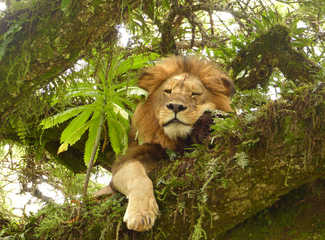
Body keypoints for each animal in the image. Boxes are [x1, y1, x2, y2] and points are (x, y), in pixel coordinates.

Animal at [110, 55, 234, 232]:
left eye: (195, 94)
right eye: (168, 91)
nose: (175, 106)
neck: (176, 139)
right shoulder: (126, 161)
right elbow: (139, 178)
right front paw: (140, 215)